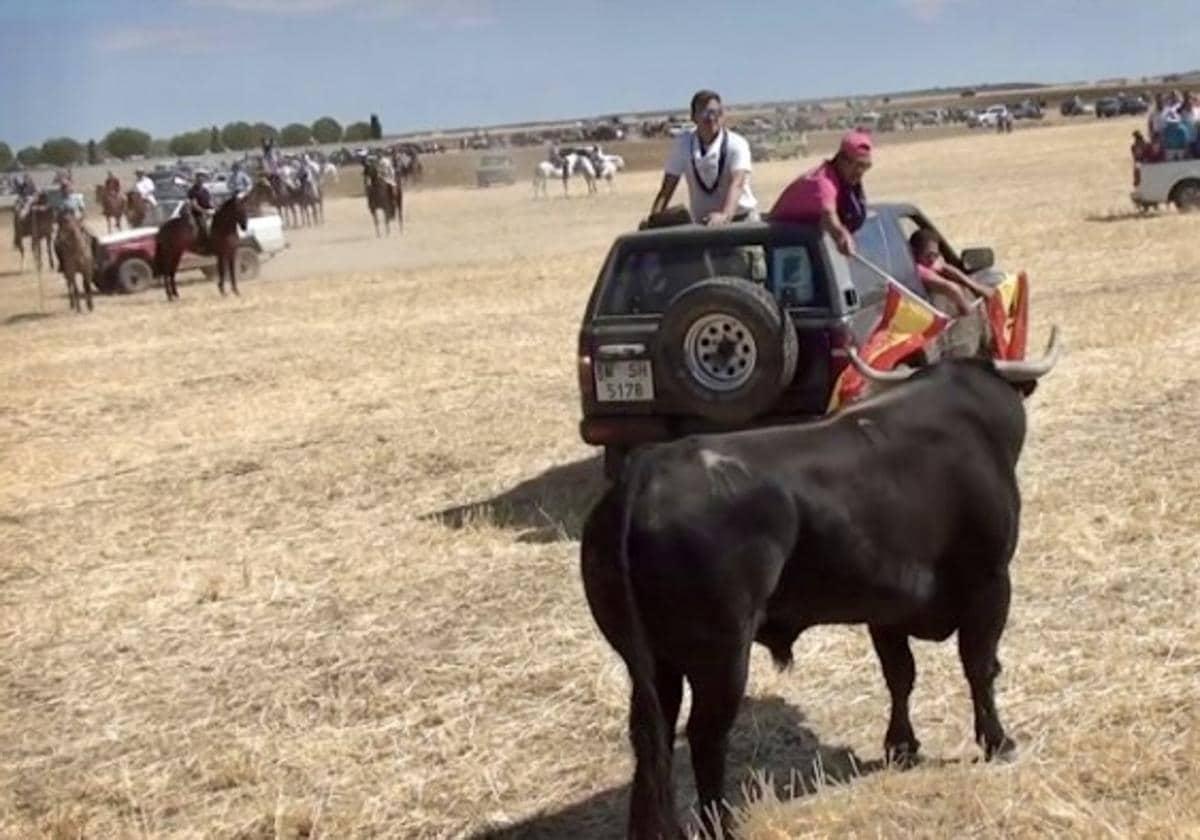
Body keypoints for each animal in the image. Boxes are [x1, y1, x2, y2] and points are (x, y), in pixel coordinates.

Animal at [580, 329, 1062, 840]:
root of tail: (645, 474)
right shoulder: (991, 584)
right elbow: (979, 667)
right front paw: (997, 741)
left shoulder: (887, 605)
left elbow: (900, 676)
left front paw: (901, 746)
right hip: (722, 655)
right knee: (705, 736)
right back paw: (724, 825)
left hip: (651, 662)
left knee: (648, 735)